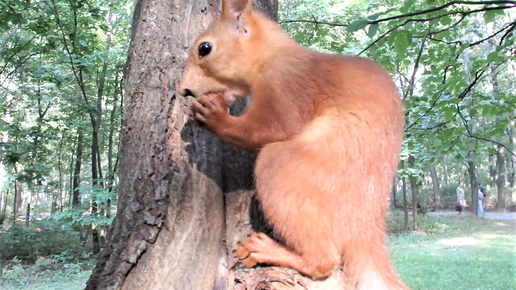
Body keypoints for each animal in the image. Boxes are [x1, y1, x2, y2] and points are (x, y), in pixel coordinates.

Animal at [177, 0, 408, 288]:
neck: (272, 55)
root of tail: (366, 225)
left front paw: (214, 116)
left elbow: (270, 129)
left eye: (204, 48)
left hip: (284, 170)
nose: (183, 91)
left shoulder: (286, 87)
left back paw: (266, 250)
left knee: (323, 260)